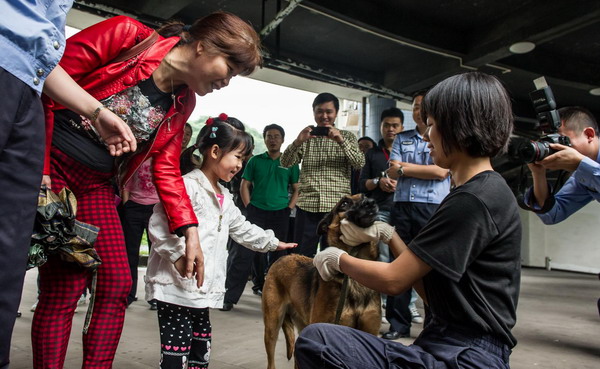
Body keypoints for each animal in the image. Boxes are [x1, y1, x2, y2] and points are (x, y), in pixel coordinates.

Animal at [262, 194, 380, 366]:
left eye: (365, 196)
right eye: (344, 203)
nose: (371, 203)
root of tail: (283, 257)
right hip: (272, 326)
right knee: (271, 362)